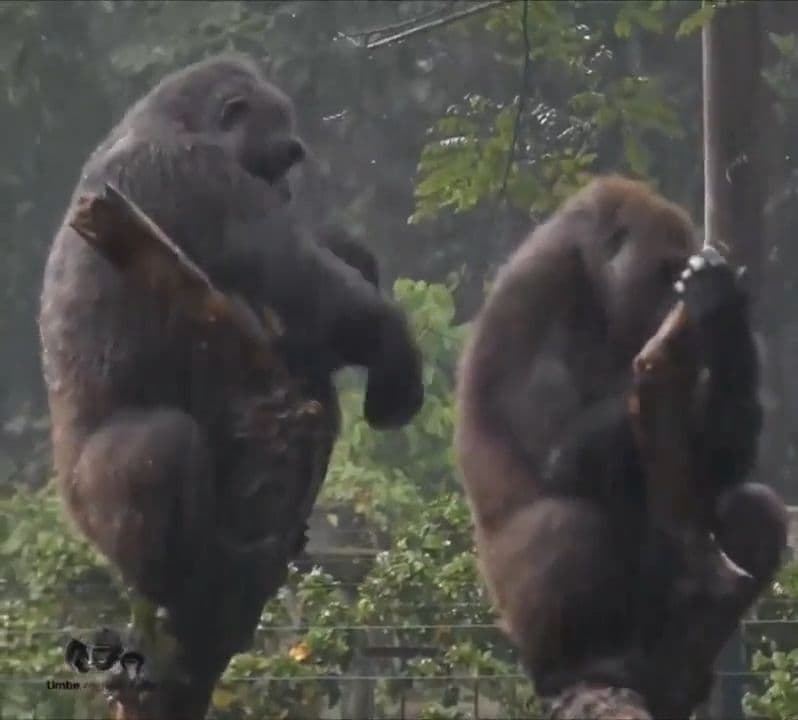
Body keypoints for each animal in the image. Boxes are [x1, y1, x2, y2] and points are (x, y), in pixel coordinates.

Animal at [39, 55, 423, 716]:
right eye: (283, 155)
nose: (288, 190)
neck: (168, 118)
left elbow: (318, 294)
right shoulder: (195, 175)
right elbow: (297, 275)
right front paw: (397, 350)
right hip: (88, 501)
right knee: (162, 445)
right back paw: (175, 587)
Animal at [454, 175, 787, 716]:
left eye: (677, 275)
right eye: (663, 271)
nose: (670, 310)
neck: (590, 275)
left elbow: (719, 465)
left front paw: (723, 320)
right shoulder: (533, 294)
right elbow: (559, 453)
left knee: (754, 511)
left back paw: (676, 678)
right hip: (509, 605)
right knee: (570, 526)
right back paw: (565, 666)